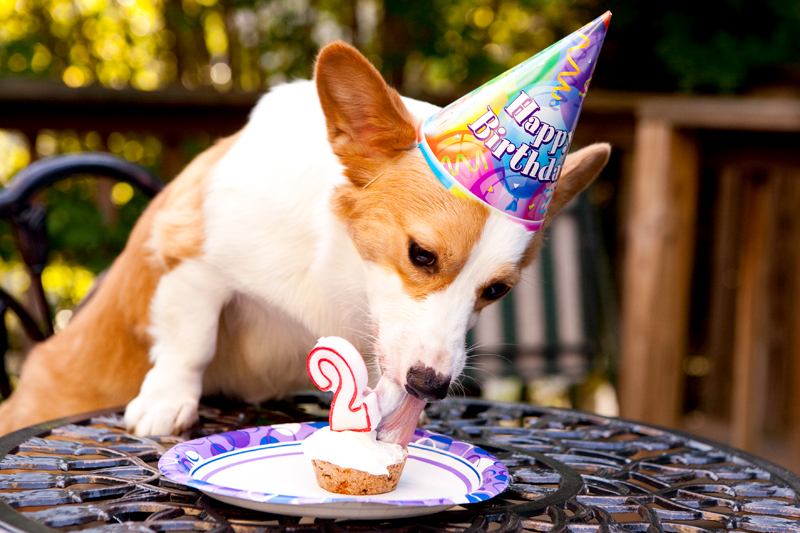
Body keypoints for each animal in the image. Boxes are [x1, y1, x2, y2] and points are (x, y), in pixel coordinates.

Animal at [0, 41, 608, 438]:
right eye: (422, 255)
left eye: (497, 292)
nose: (431, 386)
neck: (340, 269)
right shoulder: (193, 259)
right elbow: (190, 342)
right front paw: (166, 401)